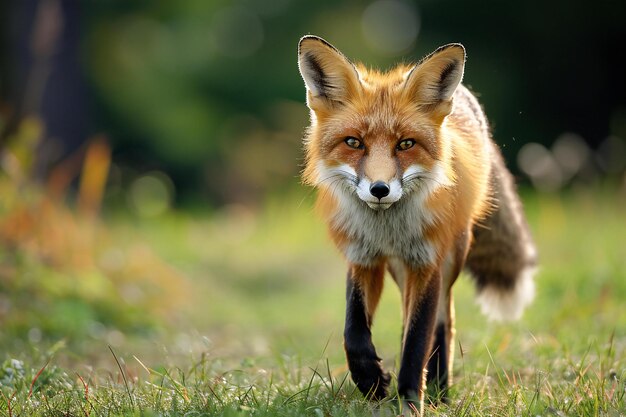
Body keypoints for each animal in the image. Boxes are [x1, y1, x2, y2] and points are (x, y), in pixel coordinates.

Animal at [294, 35, 532, 412]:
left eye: (405, 144)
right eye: (353, 142)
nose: (379, 189)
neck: (387, 231)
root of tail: (465, 97)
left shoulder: (427, 261)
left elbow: (417, 340)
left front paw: (408, 401)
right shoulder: (363, 258)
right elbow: (353, 330)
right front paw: (371, 380)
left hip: (450, 259)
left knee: (441, 323)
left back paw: (438, 393)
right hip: (398, 270)